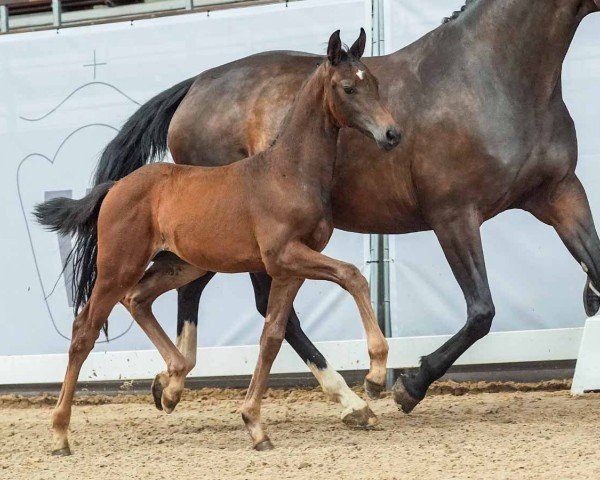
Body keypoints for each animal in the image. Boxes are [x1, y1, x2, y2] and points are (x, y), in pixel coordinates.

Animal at [38, 31, 404, 454]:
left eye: (374, 83)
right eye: (348, 87)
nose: (392, 134)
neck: (288, 172)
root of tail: (115, 187)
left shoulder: (289, 267)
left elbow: (272, 336)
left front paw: (255, 425)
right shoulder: (285, 255)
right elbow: (351, 276)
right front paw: (375, 375)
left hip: (181, 264)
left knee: (139, 298)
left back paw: (172, 378)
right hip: (118, 267)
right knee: (85, 330)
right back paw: (60, 433)